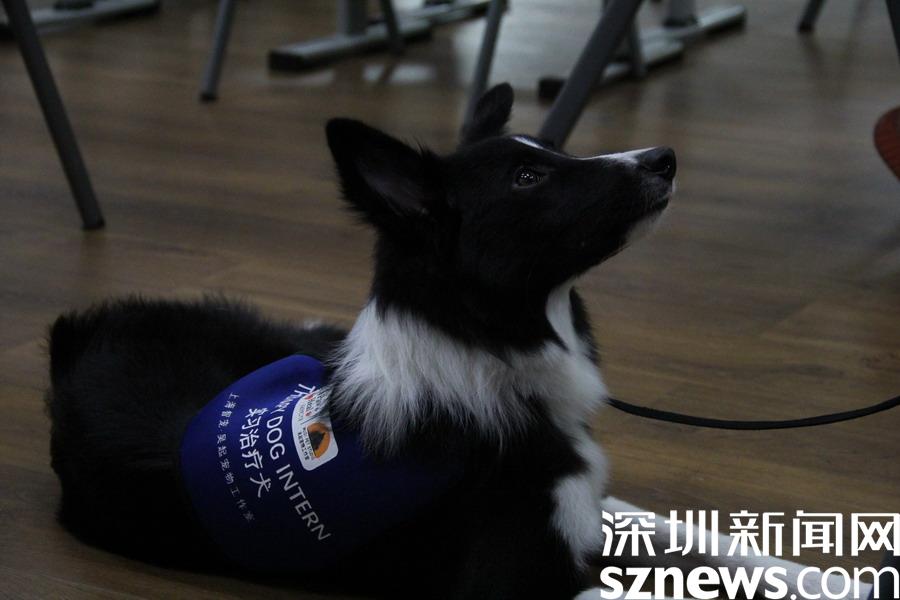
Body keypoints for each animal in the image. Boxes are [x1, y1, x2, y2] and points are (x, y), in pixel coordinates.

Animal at [45, 84, 872, 600]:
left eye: (551, 152)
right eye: (530, 178)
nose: (662, 157)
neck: (495, 354)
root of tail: (74, 335)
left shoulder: (580, 498)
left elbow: (684, 529)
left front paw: (836, 578)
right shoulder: (522, 582)